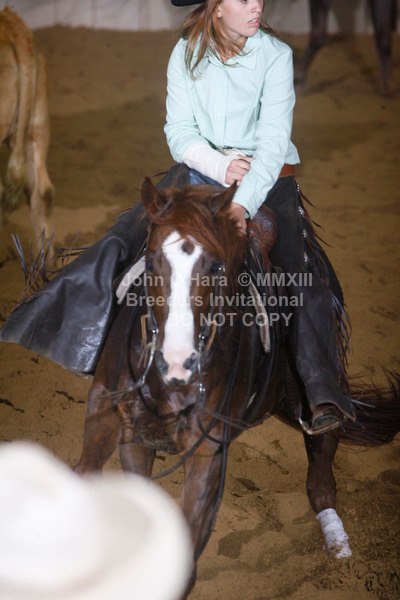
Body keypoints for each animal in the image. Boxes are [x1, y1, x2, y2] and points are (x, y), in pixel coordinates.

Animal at [74, 178, 400, 597]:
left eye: (215, 266)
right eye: (149, 262)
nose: (177, 360)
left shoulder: (207, 449)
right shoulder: (125, 429)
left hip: (319, 389)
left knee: (321, 469)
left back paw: (340, 550)